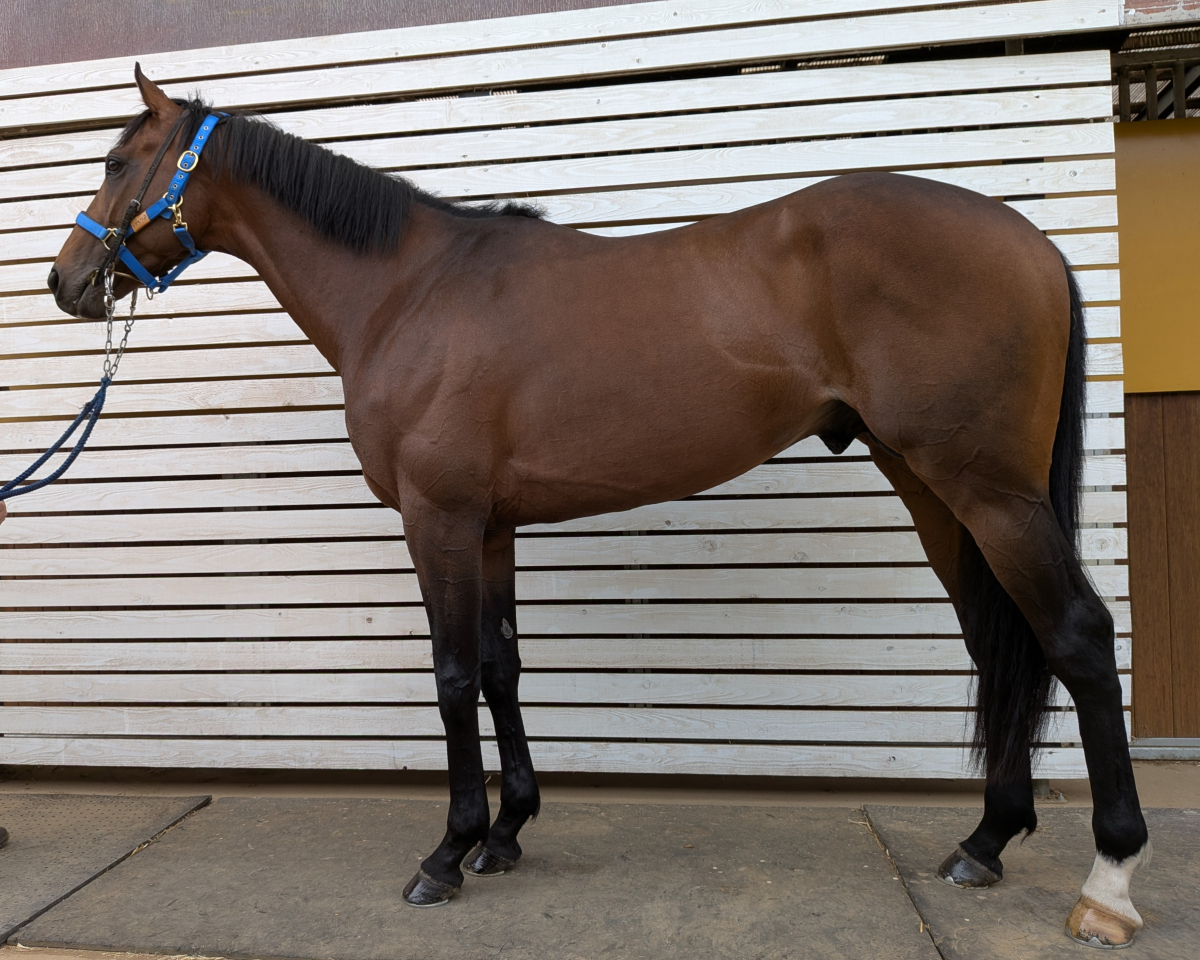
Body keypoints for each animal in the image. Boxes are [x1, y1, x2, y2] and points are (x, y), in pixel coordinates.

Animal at [48, 67, 1147, 946]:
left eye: (115, 159)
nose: (67, 282)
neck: (408, 292)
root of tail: (1032, 241)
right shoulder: (490, 525)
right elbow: (501, 668)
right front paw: (505, 833)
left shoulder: (437, 519)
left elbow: (452, 675)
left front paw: (446, 853)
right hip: (936, 490)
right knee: (999, 642)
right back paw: (986, 839)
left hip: (988, 490)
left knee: (1077, 637)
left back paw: (1110, 879)